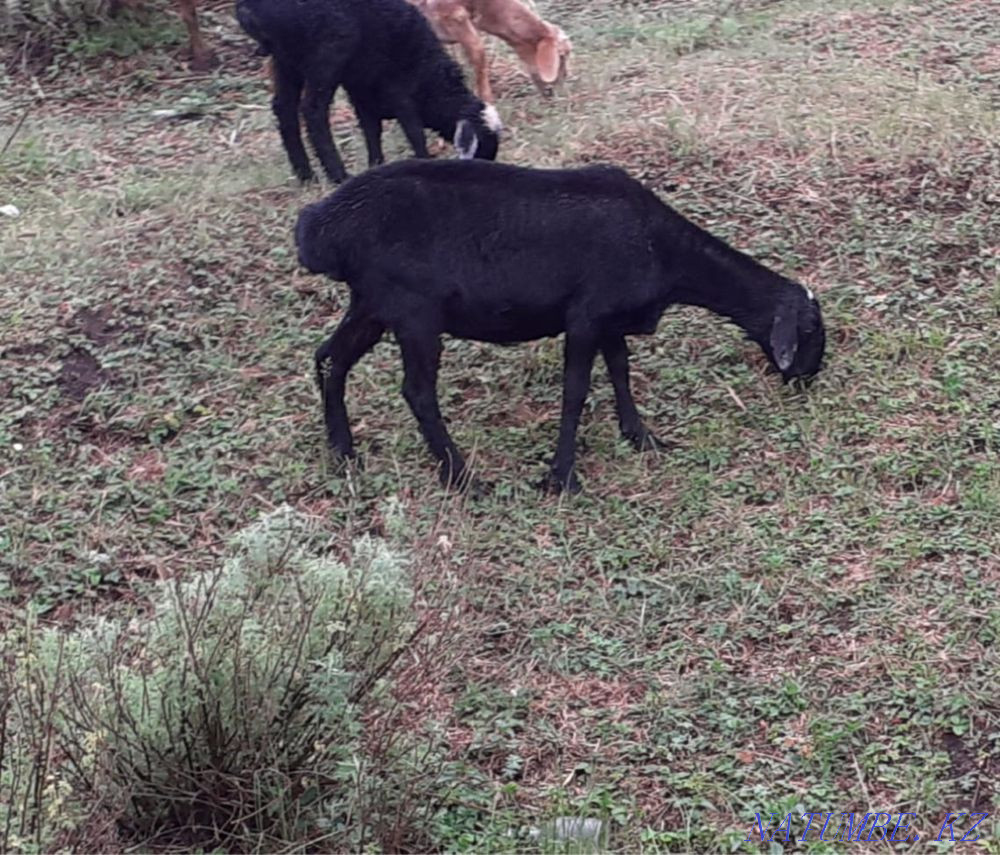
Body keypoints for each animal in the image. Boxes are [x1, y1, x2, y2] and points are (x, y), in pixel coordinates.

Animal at [235, 0, 503, 184]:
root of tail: (249, 7)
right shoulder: (398, 91)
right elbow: (413, 130)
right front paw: (423, 159)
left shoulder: (361, 92)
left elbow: (371, 129)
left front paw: (376, 163)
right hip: (328, 52)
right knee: (313, 110)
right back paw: (338, 174)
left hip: (286, 60)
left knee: (284, 109)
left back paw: (306, 175)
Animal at [296, 160, 827, 494]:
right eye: (809, 335)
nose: (806, 379)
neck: (663, 250)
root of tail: (320, 227)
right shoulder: (585, 316)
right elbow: (576, 391)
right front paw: (561, 477)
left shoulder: (610, 319)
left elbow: (620, 373)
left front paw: (641, 438)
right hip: (414, 311)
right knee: (417, 392)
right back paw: (464, 480)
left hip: (372, 303)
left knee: (330, 359)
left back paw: (344, 452)